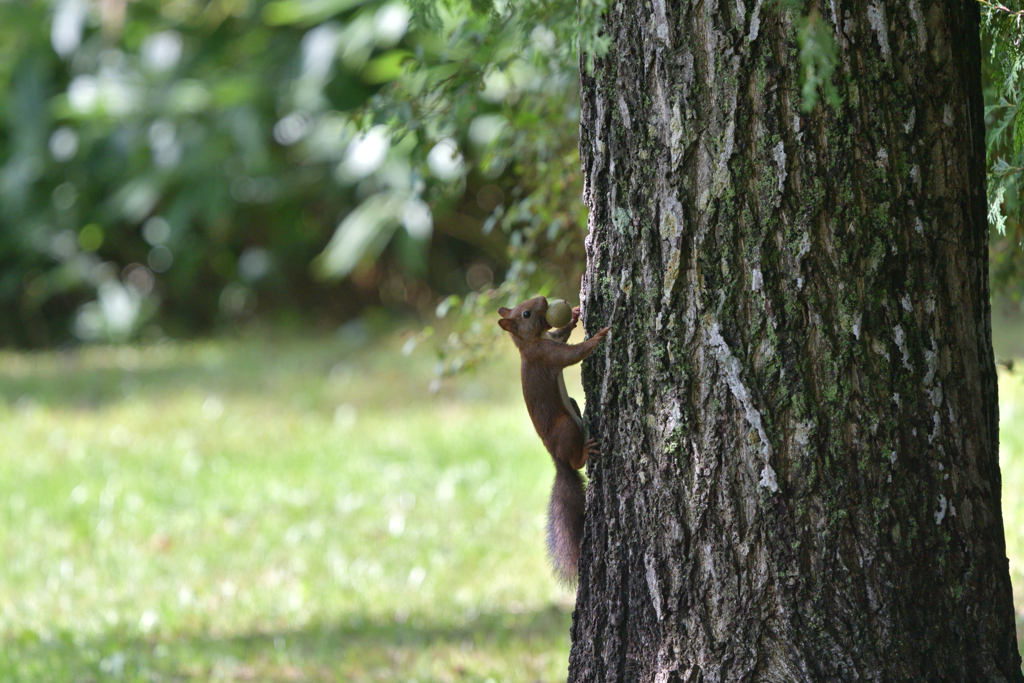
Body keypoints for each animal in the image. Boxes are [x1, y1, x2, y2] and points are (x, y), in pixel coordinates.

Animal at [495, 296, 606, 585]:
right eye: (526, 313)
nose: (544, 299)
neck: (531, 342)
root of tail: (558, 461)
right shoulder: (547, 355)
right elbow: (573, 354)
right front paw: (598, 337)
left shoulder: (552, 339)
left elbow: (563, 334)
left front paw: (575, 314)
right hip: (565, 427)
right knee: (576, 462)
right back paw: (585, 452)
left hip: (574, 408)